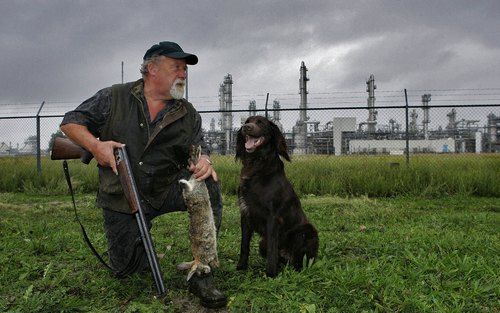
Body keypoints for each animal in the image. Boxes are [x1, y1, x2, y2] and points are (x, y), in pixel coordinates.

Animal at [235, 114, 320, 276]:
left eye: (260, 123)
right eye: (247, 121)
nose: (246, 127)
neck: (257, 164)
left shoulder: (273, 218)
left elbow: (272, 249)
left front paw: (270, 274)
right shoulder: (245, 213)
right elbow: (244, 245)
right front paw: (241, 267)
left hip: (307, 231)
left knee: (301, 261)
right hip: (262, 243)